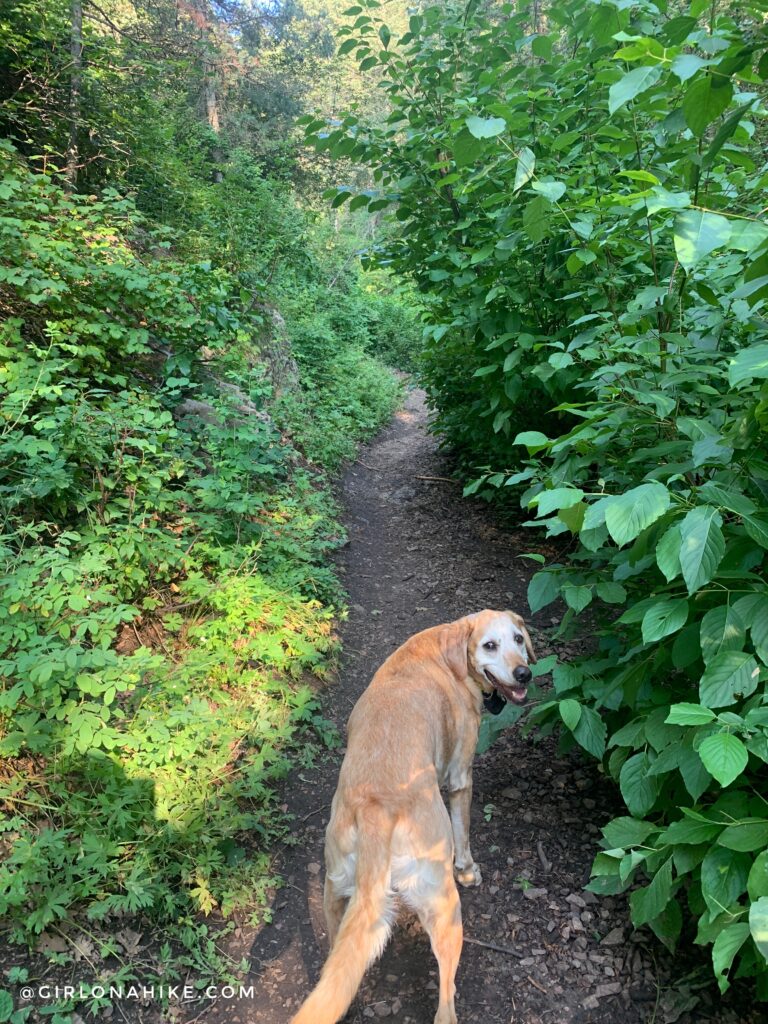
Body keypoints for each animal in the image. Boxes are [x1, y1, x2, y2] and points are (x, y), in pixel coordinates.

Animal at [288, 606, 536, 1024]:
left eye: (518, 639)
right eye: (490, 645)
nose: (524, 674)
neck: (447, 653)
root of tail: (377, 808)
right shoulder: (460, 777)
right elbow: (465, 835)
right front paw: (469, 870)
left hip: (334, 897)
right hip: (444, 908)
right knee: (445, 1005)